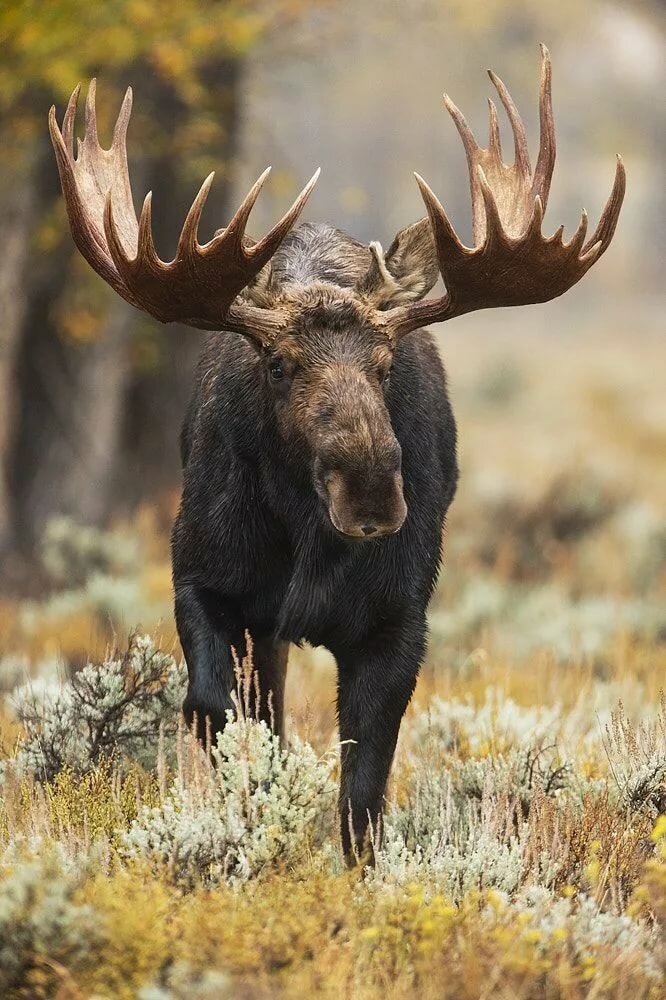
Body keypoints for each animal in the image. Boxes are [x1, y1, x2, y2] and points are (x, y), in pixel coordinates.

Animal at [50, 46, 625, 860]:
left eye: (385, 367)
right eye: (277, 365)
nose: (373, 493)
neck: (307, 544)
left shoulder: (398, 619)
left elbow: (364, 787)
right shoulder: (203, 579)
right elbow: (221, 714)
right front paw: (253, 818)